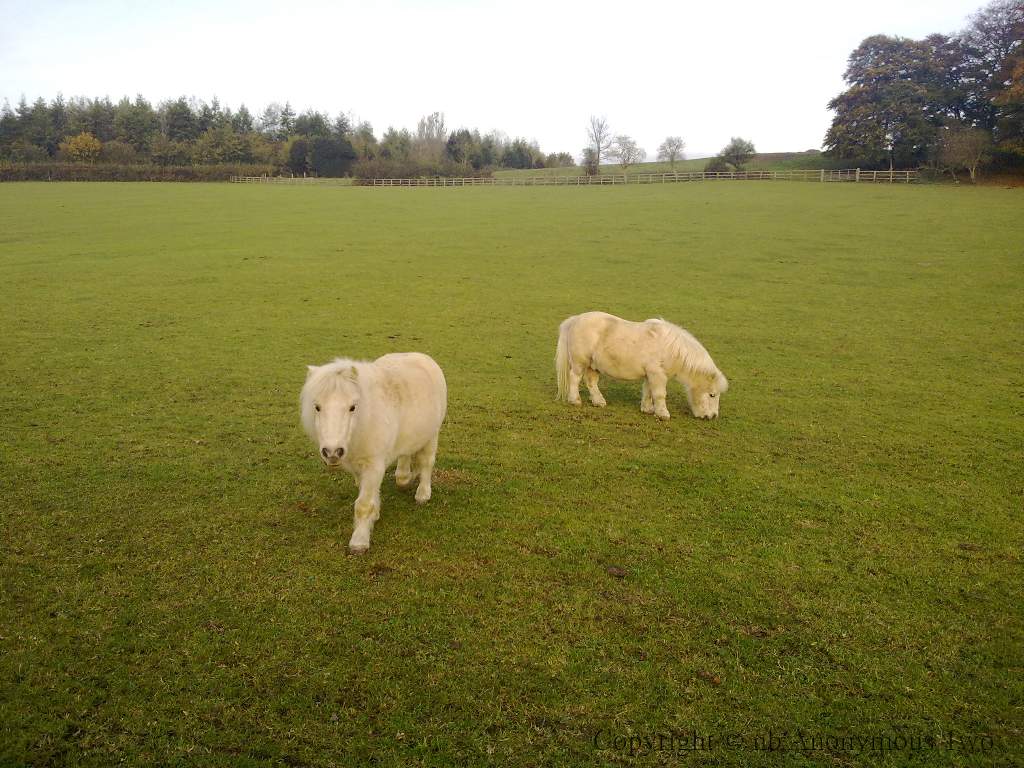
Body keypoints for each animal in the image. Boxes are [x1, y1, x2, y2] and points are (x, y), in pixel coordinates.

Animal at [301, 353, 447, 554]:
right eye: (317, 407)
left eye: (352, 407)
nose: (332, 452)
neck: (364, 420)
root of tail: (422, 356)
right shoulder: (359, 466)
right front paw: (375, 513)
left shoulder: (373, 464)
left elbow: (363, 504)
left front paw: (359, 541)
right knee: (405, 459)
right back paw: (405, 476)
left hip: (432, 434)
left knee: (426, 462)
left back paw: (423, 493)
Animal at [555, 311, 728, 420]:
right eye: (712, 395)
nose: (712, 416)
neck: (670, 348)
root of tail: (575, 319)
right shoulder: (657, 374)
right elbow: (659, 394)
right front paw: (663, 414)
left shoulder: (650, 375)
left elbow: (648, 392)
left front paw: (647, 409)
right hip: (580, 362)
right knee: (575, 378)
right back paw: (575, 400)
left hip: (593, 365)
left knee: (591, 382)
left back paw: (599, 401)